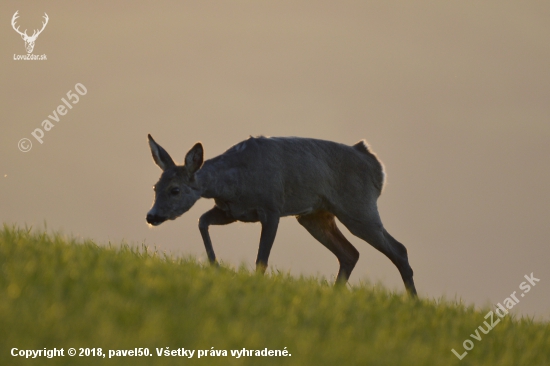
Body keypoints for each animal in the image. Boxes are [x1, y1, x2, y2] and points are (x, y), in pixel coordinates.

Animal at [147, 134, 418, 298]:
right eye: (155, 187)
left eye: (175, 190)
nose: (152, 216)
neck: (234, 184)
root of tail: (376, 166)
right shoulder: (232, 211)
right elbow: (202, 221)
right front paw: (216, 266)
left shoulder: (272, 208)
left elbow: (261, 259)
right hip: (315, 216)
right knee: (350, 253)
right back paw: (336, 294)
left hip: (359, 208)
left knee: (399, 249)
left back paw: (413, 301)